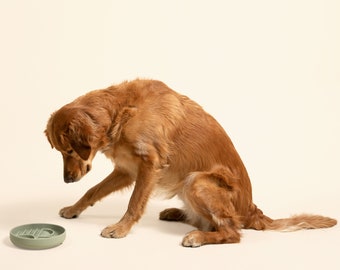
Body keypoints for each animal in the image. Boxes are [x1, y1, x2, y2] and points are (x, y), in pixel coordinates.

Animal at [45, 78, 338, 247]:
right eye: (59, 151)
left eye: (69, 150)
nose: (67, 180)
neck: (122, 110)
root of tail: (251, 210)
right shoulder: (127, 170)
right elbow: (92, 190)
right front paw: (73, 209)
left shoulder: (149, 164)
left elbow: (134, 203)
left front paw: (121, 228)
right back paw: (177, 213)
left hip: (197, 181)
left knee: (232, 232)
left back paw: (198, 237)